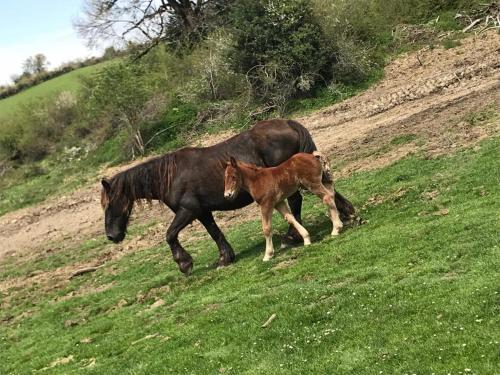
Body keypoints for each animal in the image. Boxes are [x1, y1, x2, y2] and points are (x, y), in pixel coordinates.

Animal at [99, 119, 354, 274]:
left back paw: (293, 236)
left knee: (297, 201)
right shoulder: (202, 211)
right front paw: (225, 257)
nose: (112, 236)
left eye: (109, 204)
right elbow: (215, 232)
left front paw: (184, 263)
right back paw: (346, 215)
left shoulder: (188, 210)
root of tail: (288, 123)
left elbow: (170, 235)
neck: (171, 176)